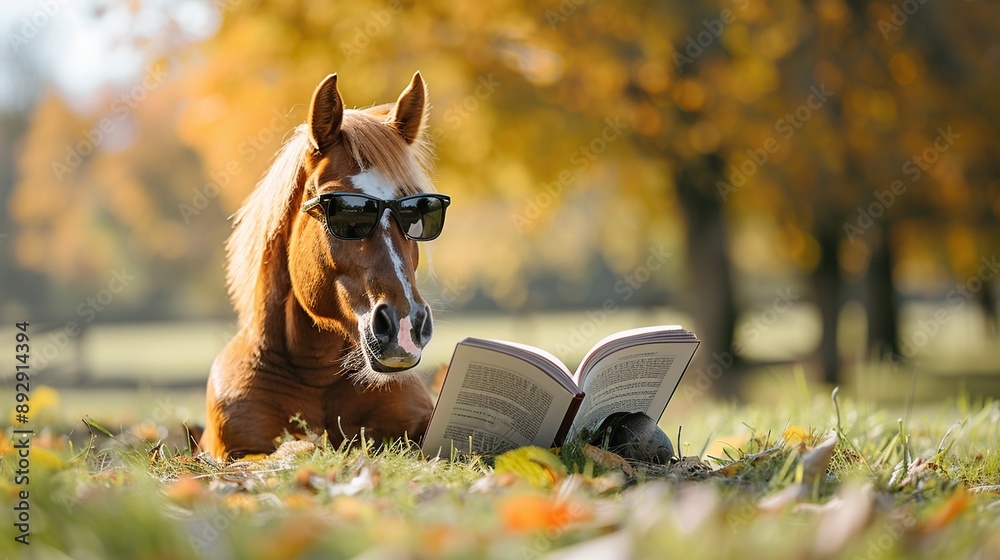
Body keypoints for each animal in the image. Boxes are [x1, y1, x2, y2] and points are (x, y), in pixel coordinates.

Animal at [200, 71, 450, 460]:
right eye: (346, 210)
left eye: (417, 210)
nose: (405, 327)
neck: (314, 374)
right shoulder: (241, 451)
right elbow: (298, 449)